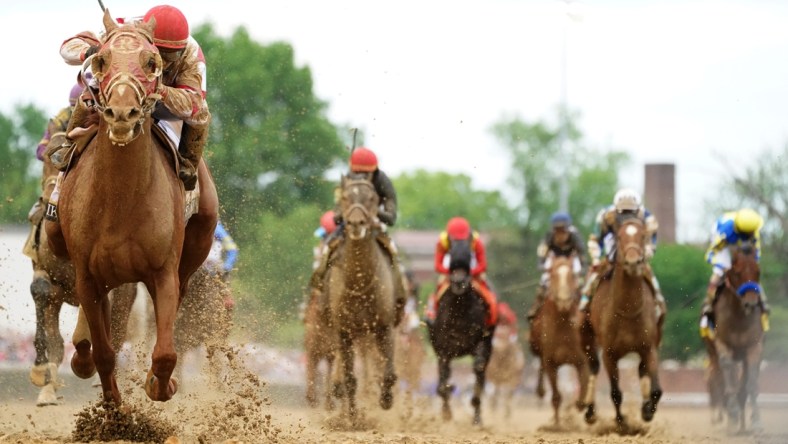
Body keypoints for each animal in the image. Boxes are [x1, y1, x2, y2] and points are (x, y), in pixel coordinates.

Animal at [528, 253, 592, 424]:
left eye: (572, 275)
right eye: (552, 274)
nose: (564, 300)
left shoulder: (582, 360)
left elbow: (581, 399)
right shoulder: (551, 362)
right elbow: (556, 397)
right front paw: (557, 424)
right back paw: (541, 390)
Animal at [580, 219, 664, 426]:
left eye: (642, 235)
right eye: (619, 236)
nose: (633, 261)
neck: (627, 310)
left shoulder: (649, 348)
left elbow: (656, 390)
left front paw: (647, 411)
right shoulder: (609, 354)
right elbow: (616, 392)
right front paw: (621, 422)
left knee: (642, 372)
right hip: (586, 337)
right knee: (592, 368)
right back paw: (590, 412)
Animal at [708, 241, 764, 432]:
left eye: (758, 271)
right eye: (737, 272)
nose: (751, 303)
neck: (738, 318)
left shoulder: (753, 345)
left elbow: (751, 382)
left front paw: (755, 420)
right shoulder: (722, 344)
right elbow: (728, 377)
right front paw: (732, 415)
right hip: (712, 355)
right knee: (718, 380)